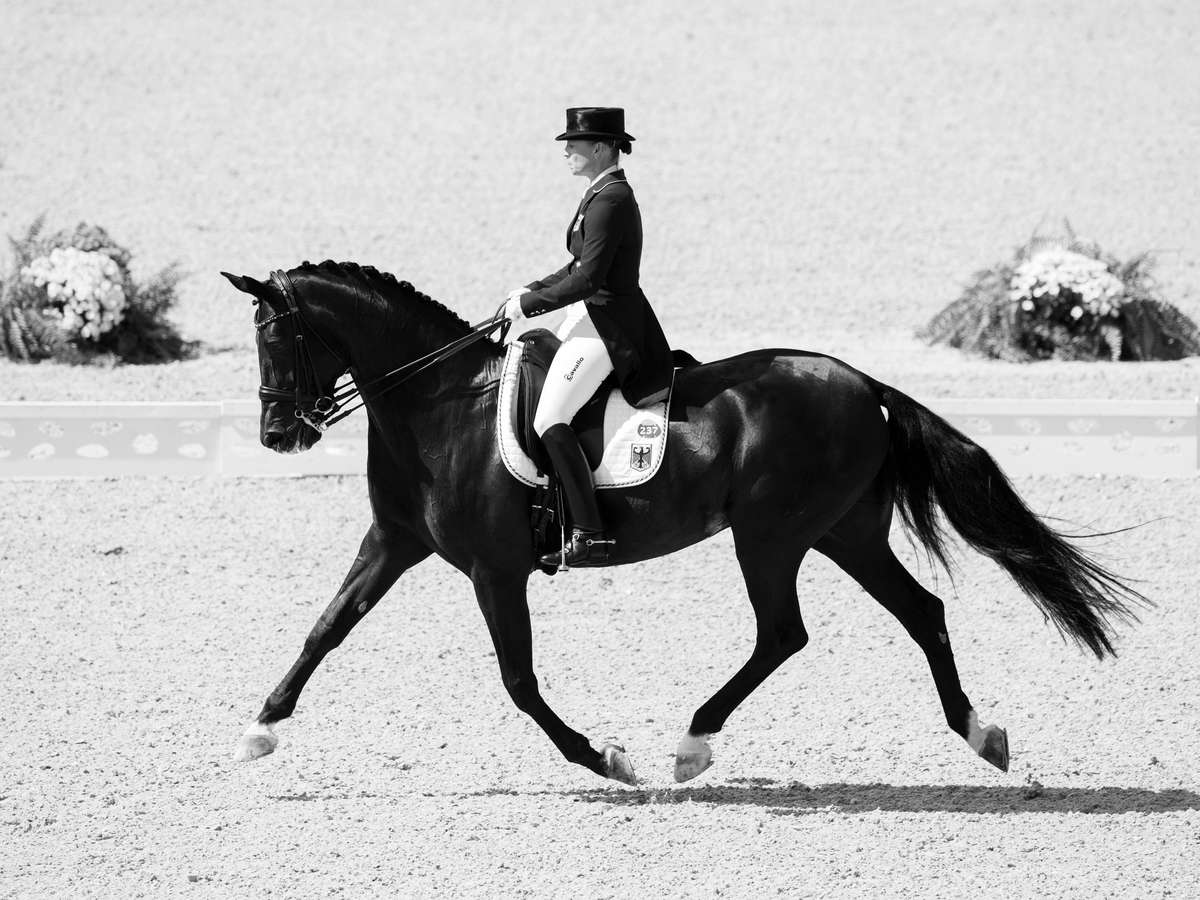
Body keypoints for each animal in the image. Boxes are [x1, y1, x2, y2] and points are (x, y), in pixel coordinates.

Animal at [223, 262, 1142, 787]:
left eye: (279, 339)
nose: (277, 434)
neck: (441, 405)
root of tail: (860, 381)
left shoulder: (496, 571)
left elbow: (518, 681)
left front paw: (608, 760)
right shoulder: (396, 543)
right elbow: (325, 628)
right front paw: (258, 730)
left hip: (771, 535)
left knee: (784, 632)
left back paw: (691, 745)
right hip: (844, 532)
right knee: (921, 613)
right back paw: (982, 736)